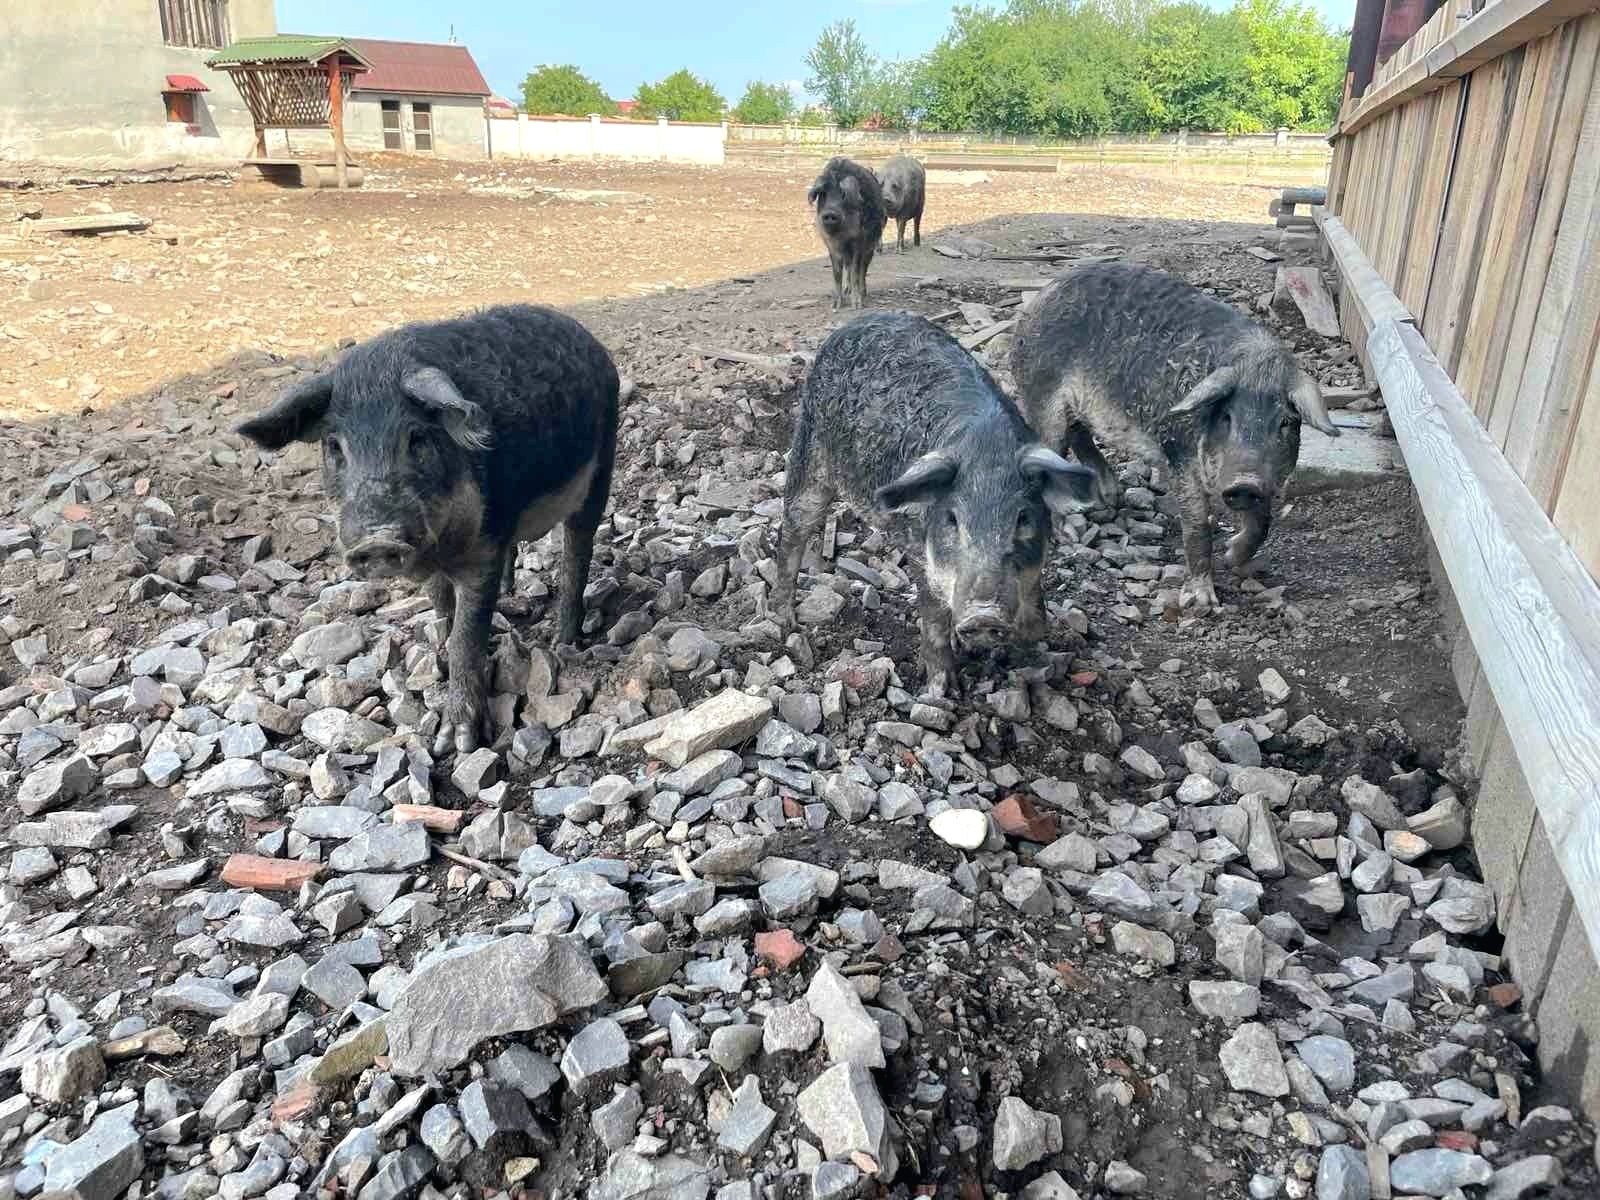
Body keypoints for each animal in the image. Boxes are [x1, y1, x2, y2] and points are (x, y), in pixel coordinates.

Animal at [236, 305, 617, 755]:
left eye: (416, 438)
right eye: (334, 446)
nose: (377, 539)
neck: (441, 550)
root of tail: (591, 341)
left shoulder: (484, 548)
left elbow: (467, 636)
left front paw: (456, 743)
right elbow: (440, 606)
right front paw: (438, 657)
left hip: (602, 466)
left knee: (578, 549)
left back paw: (564, 642)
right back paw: (512, 596)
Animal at [774, 315, 1100, 700]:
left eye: (1023, 517)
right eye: (952, 518)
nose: (984, 616)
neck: (986, 452)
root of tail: (859, 319)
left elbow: (1036, 621)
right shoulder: (925, 560)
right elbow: (933, 621)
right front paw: (943, 691)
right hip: (810, 456)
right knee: (791, 532)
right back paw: (784, 622)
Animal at [806, 158, 896, 310]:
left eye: (843, 194)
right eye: (823, 193)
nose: (830, 213)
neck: (841, 236)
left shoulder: (859, 243)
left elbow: (855, 272)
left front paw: (857, 305)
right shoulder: (831, 245)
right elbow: (837, 274)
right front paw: (835, 305)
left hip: (870, 247)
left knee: (863, 270)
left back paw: (863, 295)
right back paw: (846, 291)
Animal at [1011, 262, 1337, 611]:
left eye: (1286, 422)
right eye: (1226, 417)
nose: (1245, 483)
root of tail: (1039, 299)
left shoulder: (1268, 483)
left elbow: (1262, 523)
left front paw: (1233, 557)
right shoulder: (1178, 456)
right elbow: (1197, 526)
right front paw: (1200, 603)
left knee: (1080, 435)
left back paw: (1109, 499)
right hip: (1042, 402)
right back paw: (1068, 534)